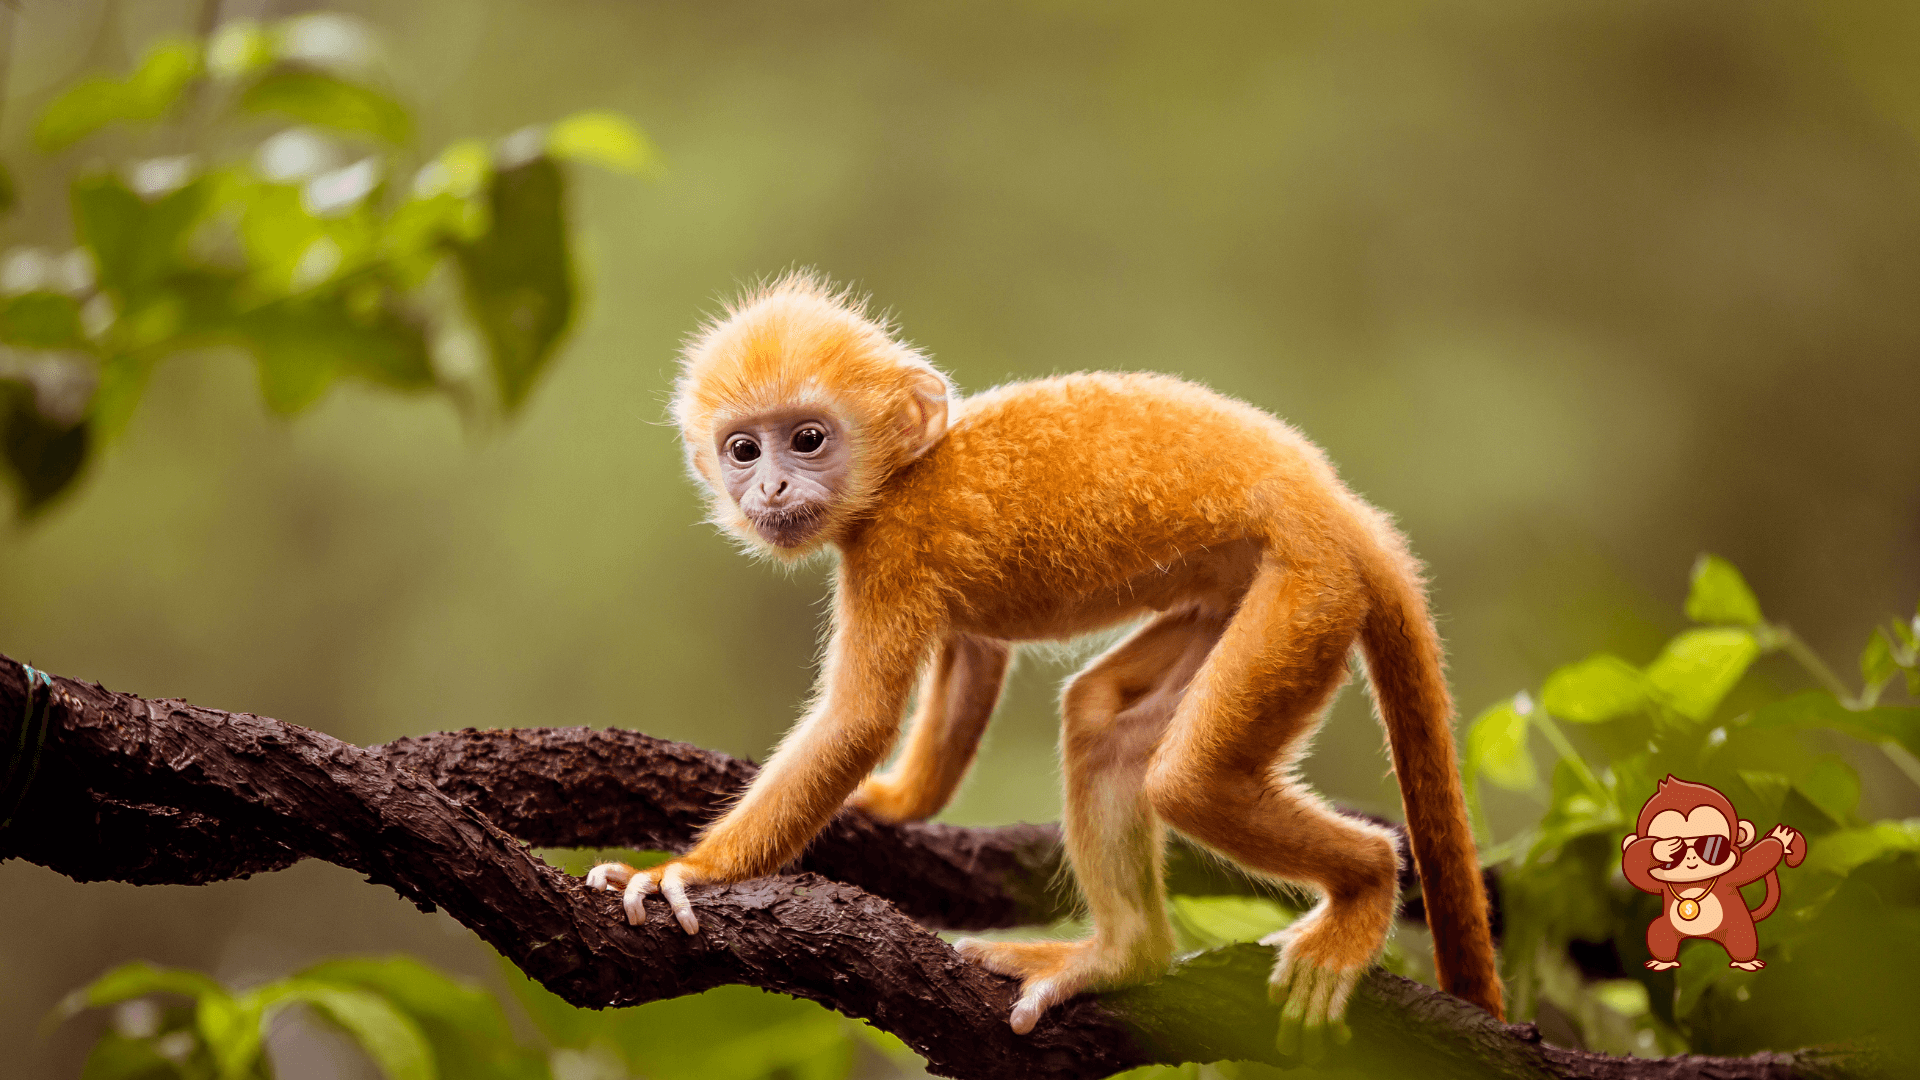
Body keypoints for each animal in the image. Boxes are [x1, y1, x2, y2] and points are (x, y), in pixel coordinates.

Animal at [583, 270, 1497, 1045]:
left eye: (807, 439)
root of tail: (1338, 508)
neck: (904, 473)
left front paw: (690, 873)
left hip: (1308, 592)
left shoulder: (896, 545)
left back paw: (1366, 884)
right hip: (1249, 595)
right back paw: (1124, 955)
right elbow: (974, 653)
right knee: (1104, 724)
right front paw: (894, 801)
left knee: (1189, 781)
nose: (769, 487)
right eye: (744, 450)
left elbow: (857, 721)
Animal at [1620, 772, 1797, 968]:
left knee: (1742, 939)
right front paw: (1662, 847)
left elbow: (1756, 863)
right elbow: (1635, 871)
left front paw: (1780, 838)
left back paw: (1744, 962)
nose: (1690, 858)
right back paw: (1664, 962)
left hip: (1738, 927)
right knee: (1658, 932)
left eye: (1712, 845)